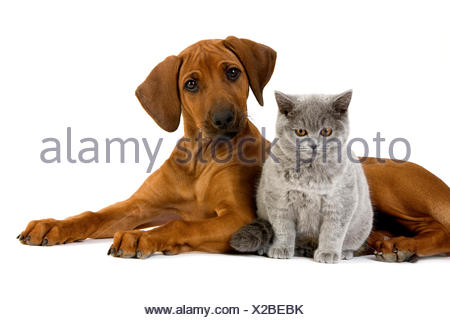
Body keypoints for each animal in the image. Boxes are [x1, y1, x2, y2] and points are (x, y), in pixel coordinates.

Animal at [230, 89, 374, 262]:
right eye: (301, 131)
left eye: (326, 131)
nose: (313, 145)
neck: (309, 172)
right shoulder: (279, 200)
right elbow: (283, 228)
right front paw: (281, 249)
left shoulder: (339, 202)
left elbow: (333, 232)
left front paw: (328, 253)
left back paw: (344, 253)